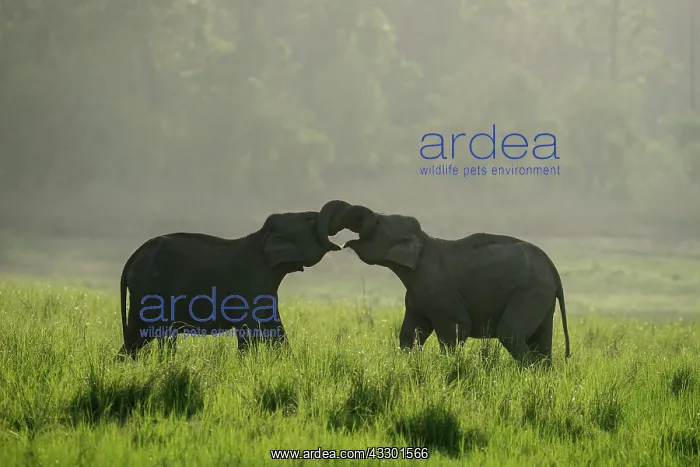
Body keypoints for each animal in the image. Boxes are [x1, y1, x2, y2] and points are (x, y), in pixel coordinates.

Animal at [118, 210, 341, 359]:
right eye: (310, 219)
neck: (261, 235)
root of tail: (129, 261)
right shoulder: (252, 281)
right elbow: (250, 331)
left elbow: (275, 330)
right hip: (153, 292)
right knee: (161, 335)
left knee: (137, 336)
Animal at [317, 200, 571, 366]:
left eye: (378, 223)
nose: (339, 243)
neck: (424, 242)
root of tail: (553, 270)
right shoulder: (417, 297)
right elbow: (409, 334)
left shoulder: (438, 292)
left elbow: (455, 330)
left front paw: (446, 369)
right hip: (542, 297)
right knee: (541, 341)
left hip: (530, 292)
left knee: (511, 333)